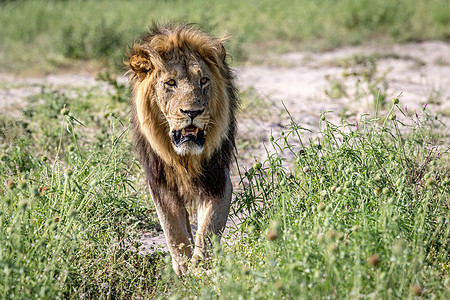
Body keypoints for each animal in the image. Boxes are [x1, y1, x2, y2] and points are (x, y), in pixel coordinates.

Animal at [125, 23, 239, 276]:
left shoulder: (217, 180)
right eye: (170, 83)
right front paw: (184, 268)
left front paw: (201, 270)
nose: (192, 112)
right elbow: (173, 230)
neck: (185, 159)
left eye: (204, 80)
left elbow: (208, 230)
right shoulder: (160, 183)